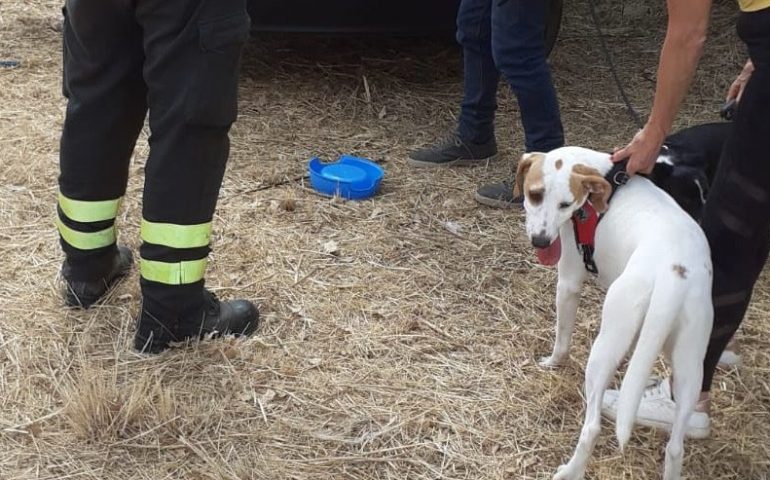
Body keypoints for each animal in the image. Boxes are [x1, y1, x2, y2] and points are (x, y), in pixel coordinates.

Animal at [516, 147, 712, 480]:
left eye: (565, 204)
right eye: (535, 195)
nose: (541, 241)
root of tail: (674, 273)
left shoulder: (568, 282)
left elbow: (562, 339)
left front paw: (553, 362)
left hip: (604, 349)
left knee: (592, 427)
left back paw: (570, 471)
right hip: (690, 366)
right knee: (676, 447)